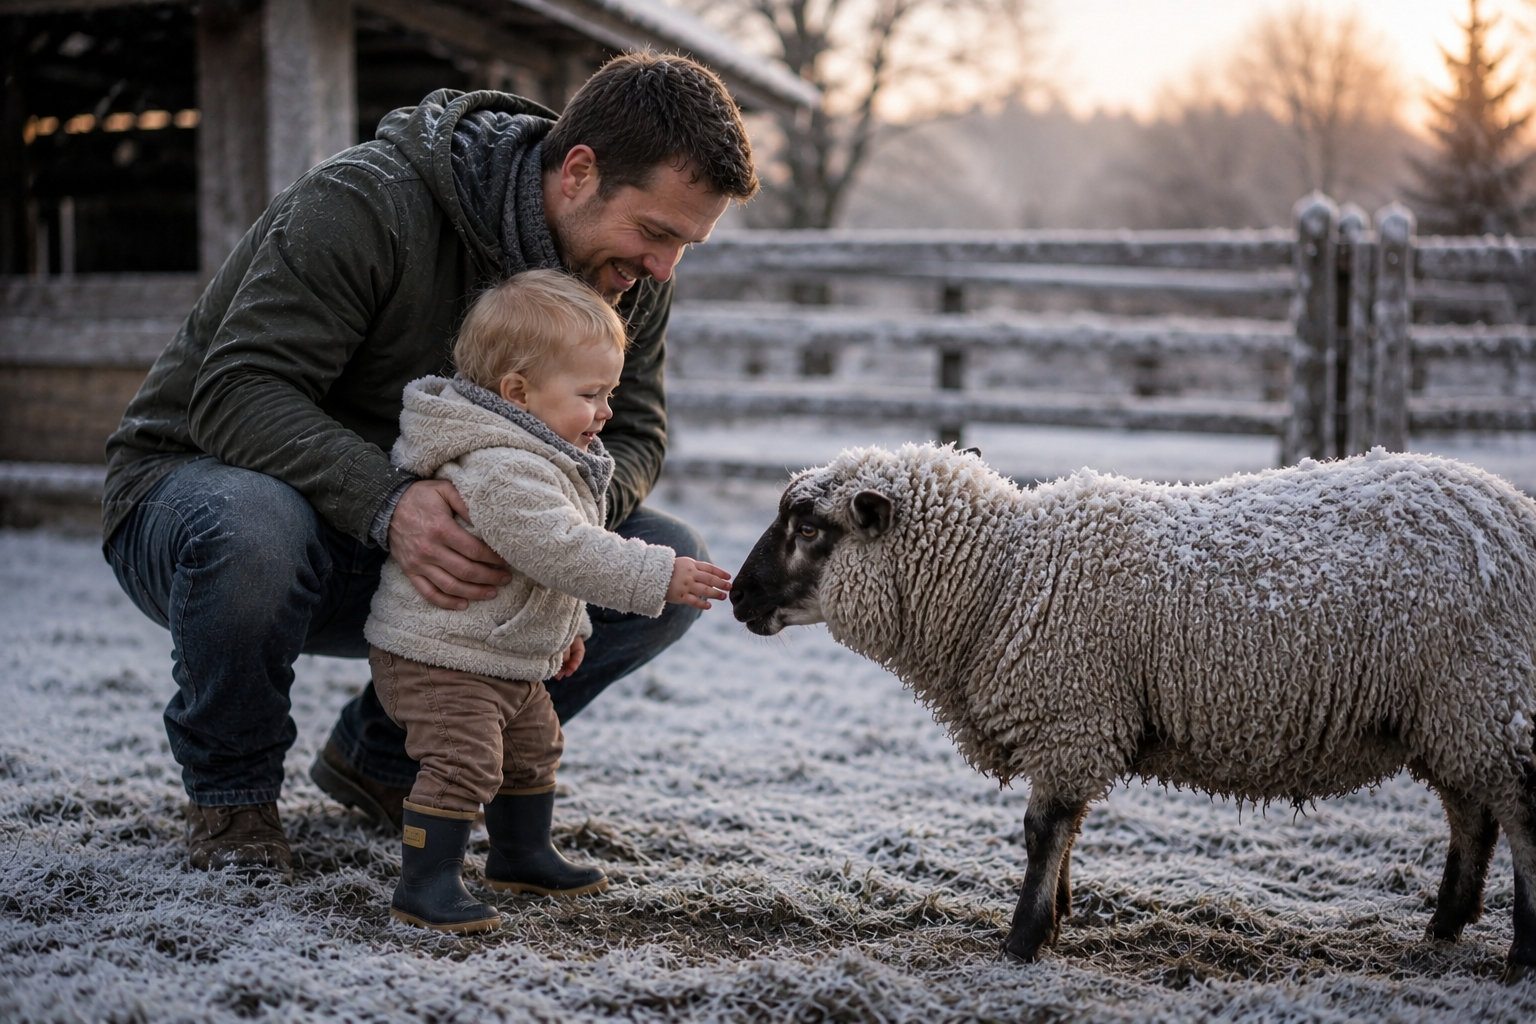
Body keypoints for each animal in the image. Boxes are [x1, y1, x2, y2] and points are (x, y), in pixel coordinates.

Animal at [730, 443, 1536, 979]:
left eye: (808, 528)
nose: (737, 597)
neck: (1002, 582)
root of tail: (1512, 509)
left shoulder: (1071, 716)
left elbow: (1042, 829)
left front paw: (1022, 941)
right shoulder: (1076, 726)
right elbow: (1065, 830)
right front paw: (1056, 919)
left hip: (1489, 692)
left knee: (1521, 819)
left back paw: (1521, 955)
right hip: (1455, 713)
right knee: (1472, 814)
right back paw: (1444, 925)